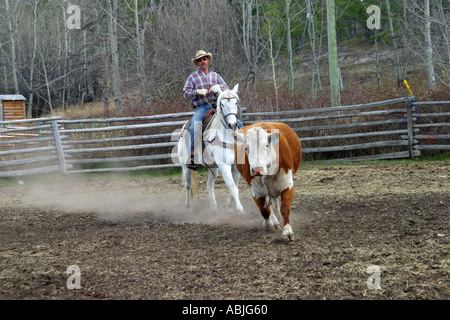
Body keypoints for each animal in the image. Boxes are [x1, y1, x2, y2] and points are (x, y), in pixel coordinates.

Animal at [178, 84, 244, 214]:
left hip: (213, 167)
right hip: (186, 166)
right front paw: (240, 210)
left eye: (235, 102)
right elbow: (233, 187)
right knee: (188, 185)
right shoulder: (224, 165)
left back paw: (214, 207)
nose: (232, 124)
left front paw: (229, 207)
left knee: (209, 185)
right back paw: (188, 207)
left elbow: (234, 186)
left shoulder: (235, 166)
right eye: (222, 104)